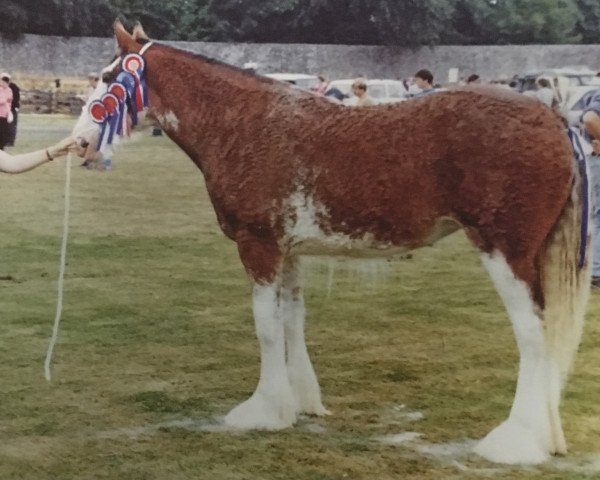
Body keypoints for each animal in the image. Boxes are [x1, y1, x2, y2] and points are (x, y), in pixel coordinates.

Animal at [74, 22, 592, 464]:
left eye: (109, 78)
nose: (80, 143)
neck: (244, 124)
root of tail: (554, 118)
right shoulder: (288, 252)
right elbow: (291, 322)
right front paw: (299, 403)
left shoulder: (258, 247)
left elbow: (266, 327)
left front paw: (262, 411)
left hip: (506, 253)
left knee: (532, 334)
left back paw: (516, 441)